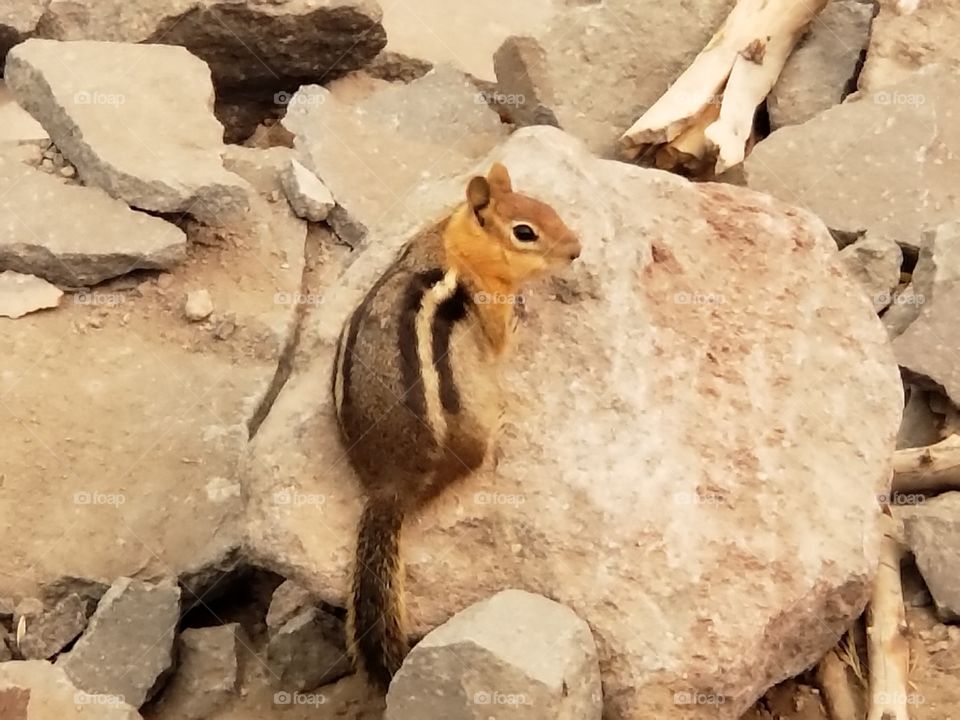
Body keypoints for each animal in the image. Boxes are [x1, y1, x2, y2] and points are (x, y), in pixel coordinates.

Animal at [331, 162, 581, 690]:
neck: (457, 244)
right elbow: (503, 341)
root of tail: (388, 489)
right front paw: (524, 315)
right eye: (524, 232)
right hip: (471, 438)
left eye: (547, 206)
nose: (576, 250)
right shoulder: (492, 310)